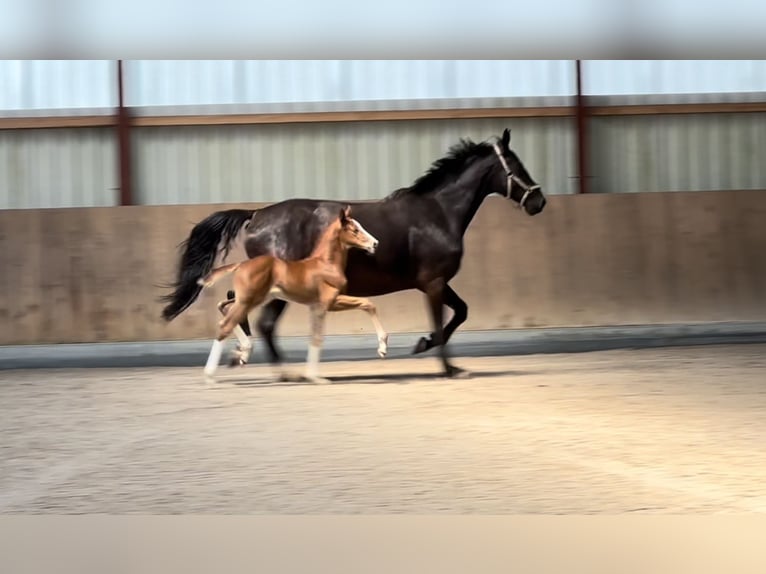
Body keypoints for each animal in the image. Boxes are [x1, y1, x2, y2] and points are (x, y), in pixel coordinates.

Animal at [200, 208, 390, 388]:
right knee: (225, 324)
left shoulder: (316, 307)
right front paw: (382, 348)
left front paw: (315, 378)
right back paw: (210, 377)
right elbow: (368, 303)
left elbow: (315, 338)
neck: (326, 264)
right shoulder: (330, 303)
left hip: (254, 299)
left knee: (223, 307)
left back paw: (244, 350)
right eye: (355, 229)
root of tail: (241, 264)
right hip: (249, 300)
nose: (375, 243)